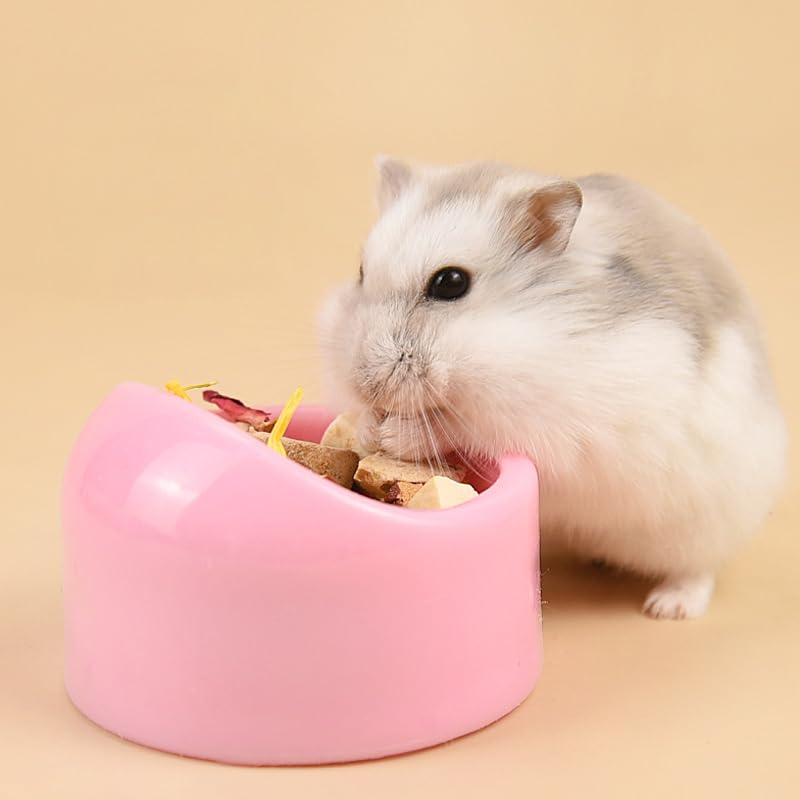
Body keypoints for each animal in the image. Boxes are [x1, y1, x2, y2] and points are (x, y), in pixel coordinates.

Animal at [317, 157, 787, 619]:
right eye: (361, 273)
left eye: (451, 282)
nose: (364, 381)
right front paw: (367, 427)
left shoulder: (543, 422)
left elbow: (458, 430)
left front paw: (395, 433)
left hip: (706, 527)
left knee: (700, 569)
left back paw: (668, 607)